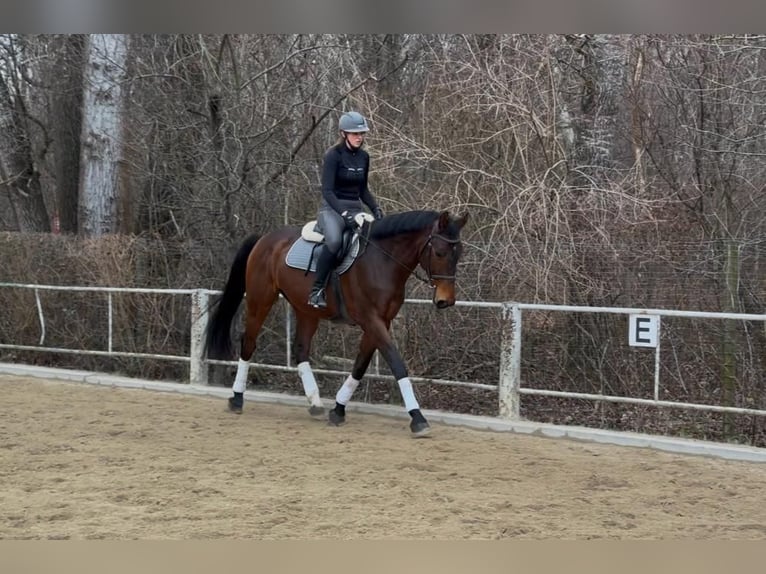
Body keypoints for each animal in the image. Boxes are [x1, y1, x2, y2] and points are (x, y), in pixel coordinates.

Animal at [204, 209, 468, 438]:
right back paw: (237, 398)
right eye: (440, 252)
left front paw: (338, 410)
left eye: (458, 253)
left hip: (306, 310)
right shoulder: (371, 320)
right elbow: (397, 364)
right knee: (248, 343)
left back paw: (315, 403)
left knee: (300, 349)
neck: (382, 260)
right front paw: (418, 418)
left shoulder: (380, 322)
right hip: (261, 300)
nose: (446, 300)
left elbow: (360, 365)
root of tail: (265, 238)